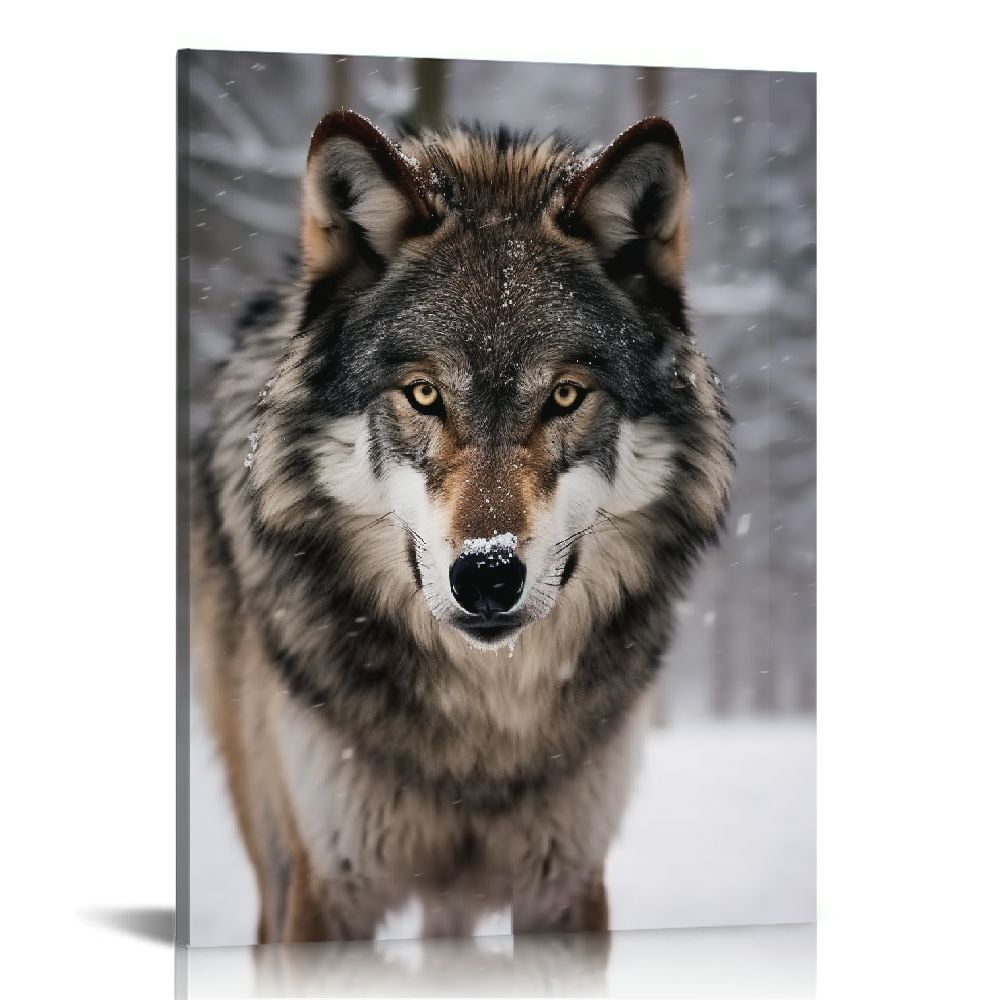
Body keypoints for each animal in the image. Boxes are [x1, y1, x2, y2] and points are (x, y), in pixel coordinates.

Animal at [191, 109, 734, 943]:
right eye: (423, 394)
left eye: (566, 396)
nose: (485, 573)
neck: (486, 724)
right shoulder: (324, 892)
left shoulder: (567, 887)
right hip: (273, 861)